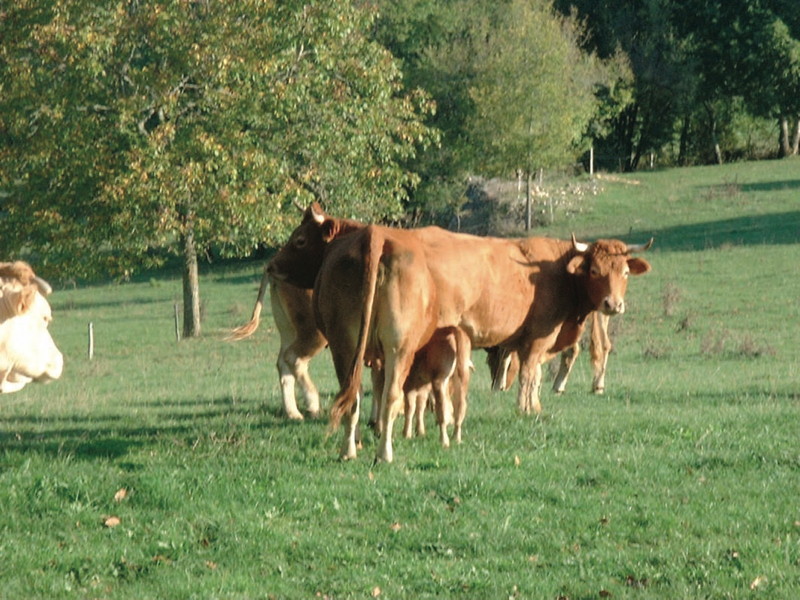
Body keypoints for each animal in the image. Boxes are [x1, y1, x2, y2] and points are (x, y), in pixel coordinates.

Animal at [267, 203, 651, 462]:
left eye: (624, 273)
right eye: (596, 270)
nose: (613, 304)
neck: (553, 268)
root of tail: (375, 236)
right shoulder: (539, 337)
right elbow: (530, 375)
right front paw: (528, 409)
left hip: (345, 347)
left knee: (353, 392)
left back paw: (352, 445)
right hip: (396, 346)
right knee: (385, 392)